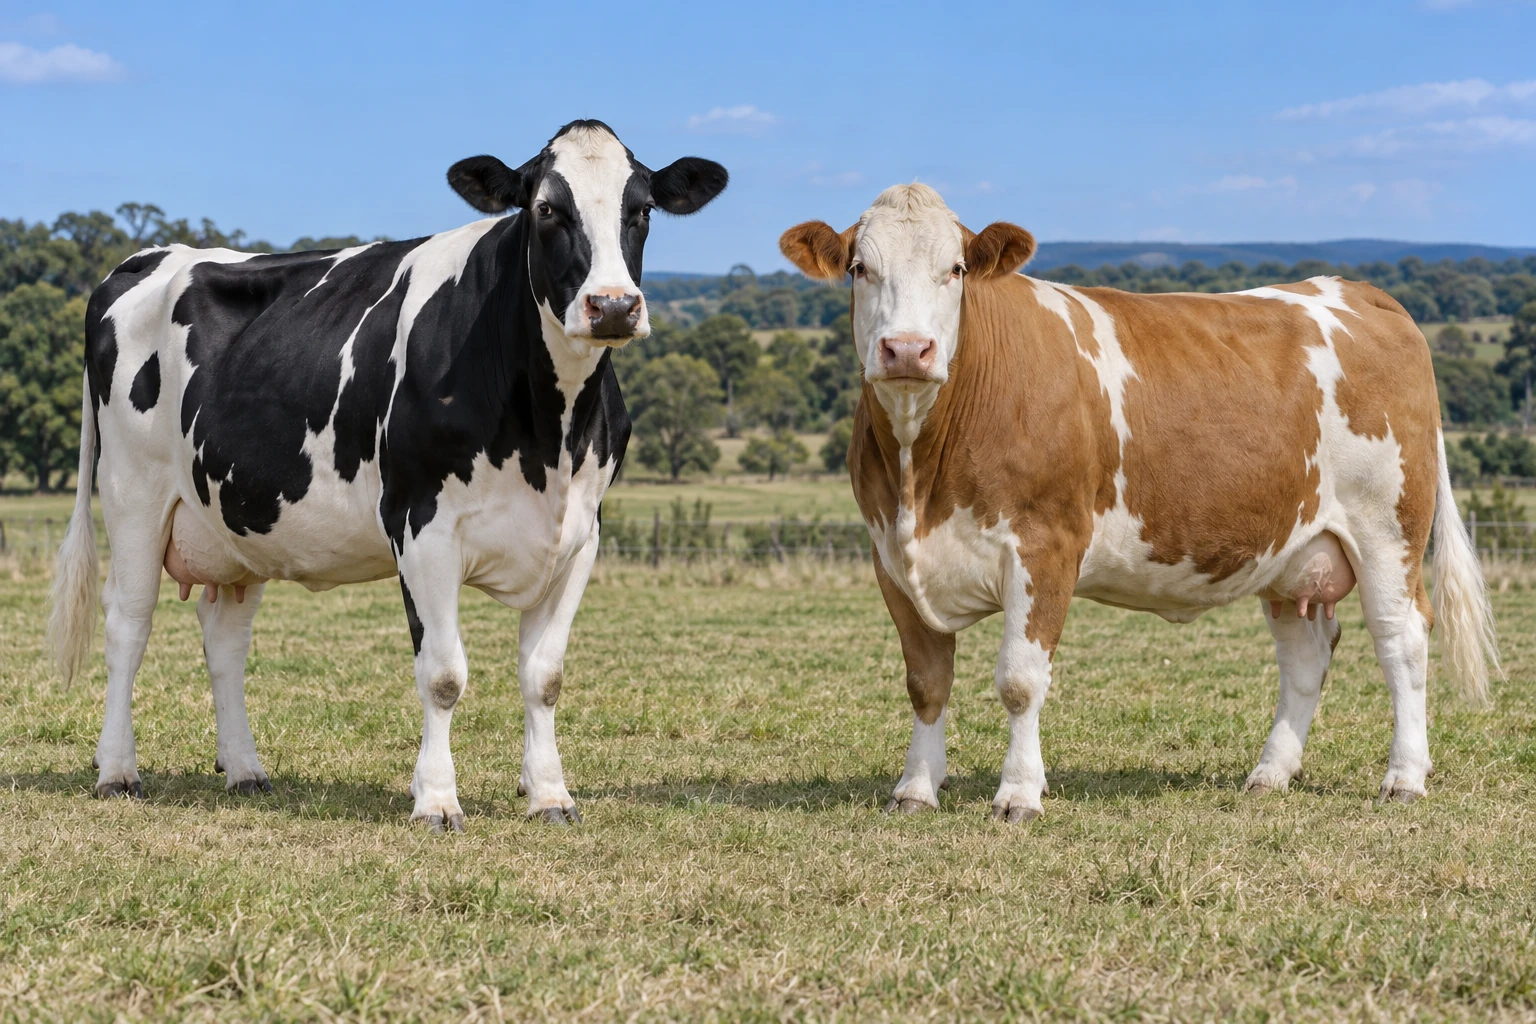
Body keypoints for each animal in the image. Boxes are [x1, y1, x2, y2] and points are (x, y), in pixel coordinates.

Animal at [49, 120, 728, 829]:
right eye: (546, 209)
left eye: (641, 210)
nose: (614, 306)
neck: (550, 432)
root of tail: (146, 258)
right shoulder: (421, 525)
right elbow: (444, 674)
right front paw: (436, 800)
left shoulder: (579, 536)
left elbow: (545, 675)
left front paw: (549, 795)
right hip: (133, 493)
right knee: (128, 623)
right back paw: (117, 771)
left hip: (235, 518)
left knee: (225, 638)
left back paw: (244, 770)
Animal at [780, 184, 1499, 823]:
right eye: (860, 269)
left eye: (954, 269)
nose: (906, 349)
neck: (923, 476)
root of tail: (1355, 290)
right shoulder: (892, 556)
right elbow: (926, 681)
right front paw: (916, 790)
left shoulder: (1045, 546)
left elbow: (1019, 679)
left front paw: (1019, 795)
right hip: (1290, 547)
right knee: (1307, 652)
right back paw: (1270, 774)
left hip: (1388, 528)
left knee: (1402, 639)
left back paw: (1404, 777)